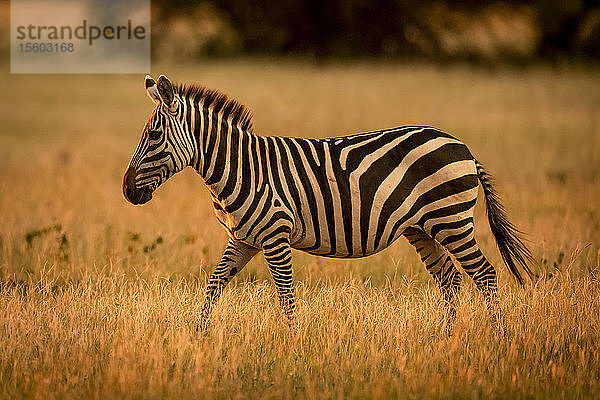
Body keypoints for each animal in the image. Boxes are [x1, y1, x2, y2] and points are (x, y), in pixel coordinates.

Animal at [123, 74, 536, 332]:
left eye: (155, 135)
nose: (127, 190)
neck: (242, 168)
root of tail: (462, 146)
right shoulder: (243, 238)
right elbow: (213, 285)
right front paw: (198, 336)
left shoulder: (275, 237)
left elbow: (286, 297)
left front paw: (291, 347)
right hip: (422, 229)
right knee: (450, 279)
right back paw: (446, 340)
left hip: (451, 220)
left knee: (484, 275)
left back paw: (497, 337)